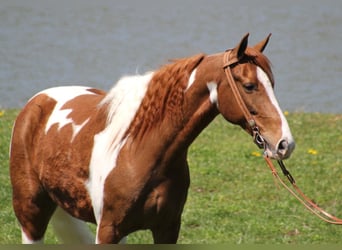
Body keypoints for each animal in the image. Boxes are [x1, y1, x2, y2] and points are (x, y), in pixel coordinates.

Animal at [9, 32, 296, 242]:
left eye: (272, 83)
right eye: (249, 86)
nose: (285, 144)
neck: (139, 151)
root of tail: (37, 102)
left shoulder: (167, 228)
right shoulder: (108, 230)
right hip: (31, 215)